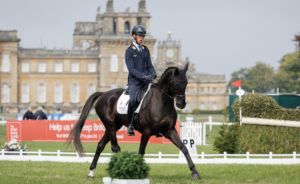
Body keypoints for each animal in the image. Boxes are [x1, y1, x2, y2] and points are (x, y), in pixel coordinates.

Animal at [69, 62, 200, 179]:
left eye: (186, 83)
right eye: (174, 83)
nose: (181, 104)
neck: (162, 102)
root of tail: (103, 94)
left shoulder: (170, 130)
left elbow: (184, 148)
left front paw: (195, 172)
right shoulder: (147, 132)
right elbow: (141, 152)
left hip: (114, 126)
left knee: (101, 145)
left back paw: (91, 172)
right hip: (110, 125)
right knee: (115, 148)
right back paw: (124, 167)